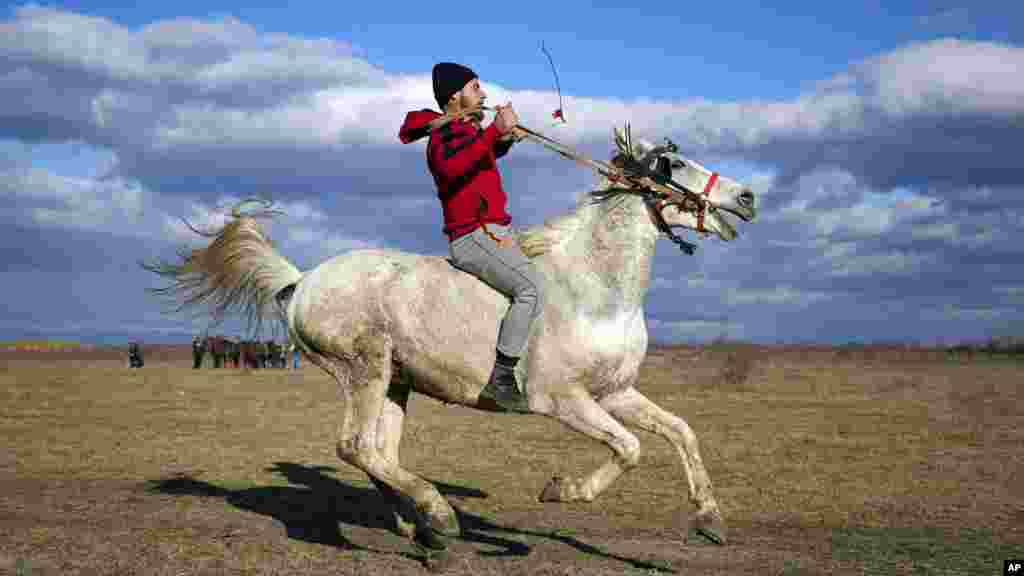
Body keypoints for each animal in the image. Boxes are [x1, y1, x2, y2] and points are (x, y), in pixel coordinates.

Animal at [146, 124, 753, 553]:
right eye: (674, 163)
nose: (747, 197)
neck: (595, 287)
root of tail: (303, 281)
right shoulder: (564, 400)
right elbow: (629, 448)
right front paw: (560, 489)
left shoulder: (615, 393)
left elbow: (681, 432)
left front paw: (710, 519)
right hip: (364, 370)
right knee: (355, 447)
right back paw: (438, 516)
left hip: (396, 382)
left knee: (378, 453)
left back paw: (421, 527)